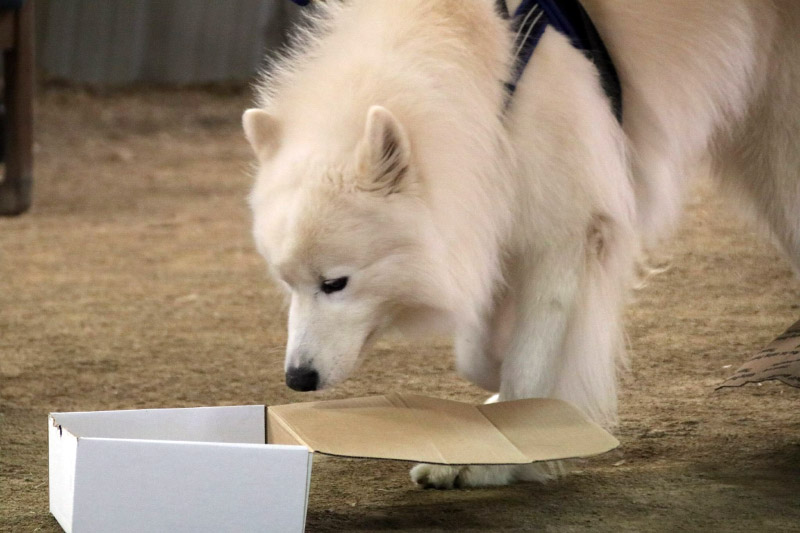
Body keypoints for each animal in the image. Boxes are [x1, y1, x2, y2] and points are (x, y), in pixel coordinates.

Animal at [242, 0, 800, 488]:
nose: (297, 380)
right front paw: (496, 389)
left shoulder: (565, 228)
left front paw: (502, 455)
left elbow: (531, 357)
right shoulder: (493, 209)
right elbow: (478, 350)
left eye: (335, 283)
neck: (492, 76)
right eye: (287, 284)